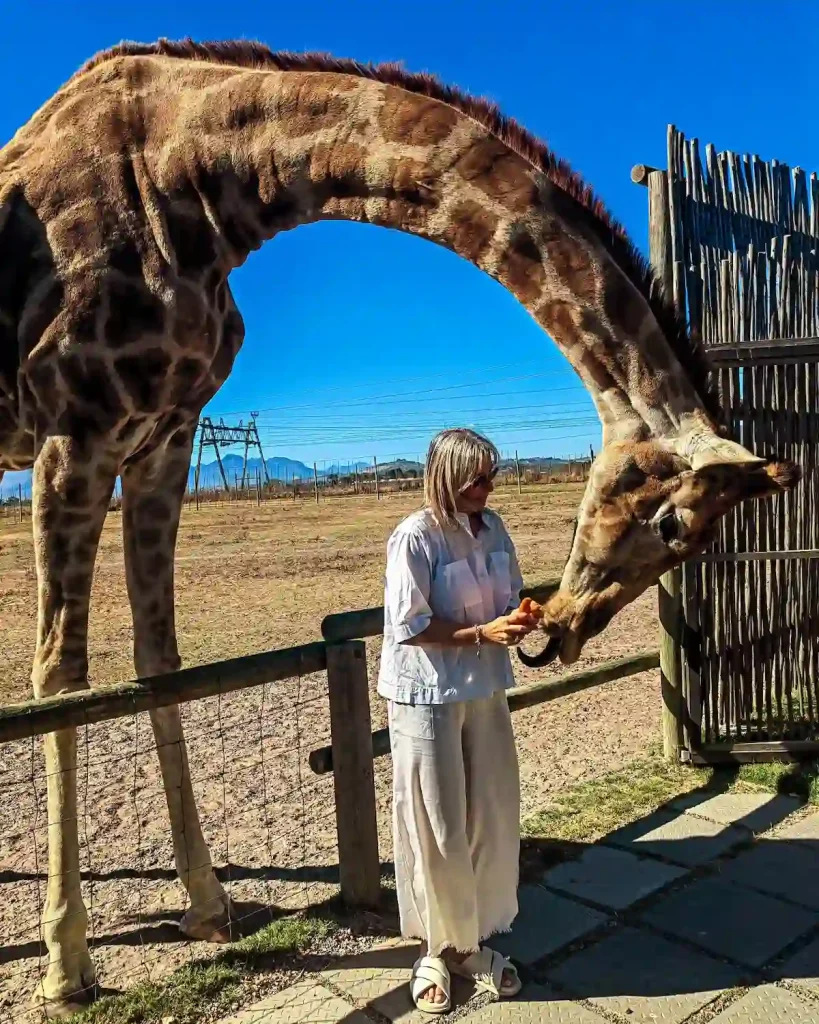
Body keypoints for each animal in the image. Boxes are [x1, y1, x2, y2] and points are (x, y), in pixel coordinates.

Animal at [0, 39, 799, 1014]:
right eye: (673, 522)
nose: (560, 630)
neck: (197, 185)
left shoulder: (166, 435)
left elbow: (160, 663)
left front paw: (208, 907)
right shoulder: (73, 434)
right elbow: (61, 679)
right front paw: (66, 965)